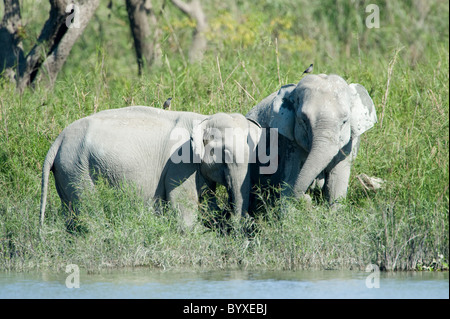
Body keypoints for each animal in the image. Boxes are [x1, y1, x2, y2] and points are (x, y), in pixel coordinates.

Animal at [41, 107, 264, 230]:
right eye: (224, 153)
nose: (238, 224)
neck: (204, 117)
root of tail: (58, 140)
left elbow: (207, 201)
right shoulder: (180, 163)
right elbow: (184, 204)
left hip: (68, 170)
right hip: (77, 169)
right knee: (90, 211)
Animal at [246, 74, 376, 206]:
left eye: (344, 122)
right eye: (303, 120)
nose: (306, 197)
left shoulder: (348, 145)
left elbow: (337, 183)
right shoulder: (290, 142)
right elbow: (290, 180)